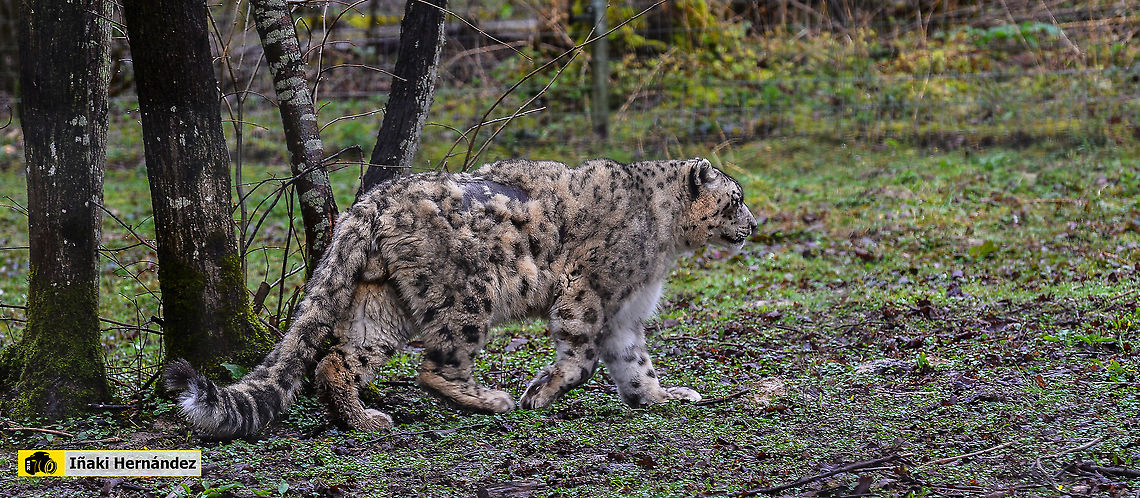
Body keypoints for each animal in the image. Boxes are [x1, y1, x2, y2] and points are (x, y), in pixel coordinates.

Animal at [165, 157, 756, 437]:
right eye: (736, 198)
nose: (753, 225)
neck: (666, 242)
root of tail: (372, 201)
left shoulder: (625, 315)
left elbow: (634, 364)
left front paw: (662, 396)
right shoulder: (587, 293)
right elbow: (582, 357)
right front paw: (539, 391)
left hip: (383, 306)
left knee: (337, 359)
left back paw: (363, 420)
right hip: (467, 296)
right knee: (436, 366)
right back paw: (489, 400)